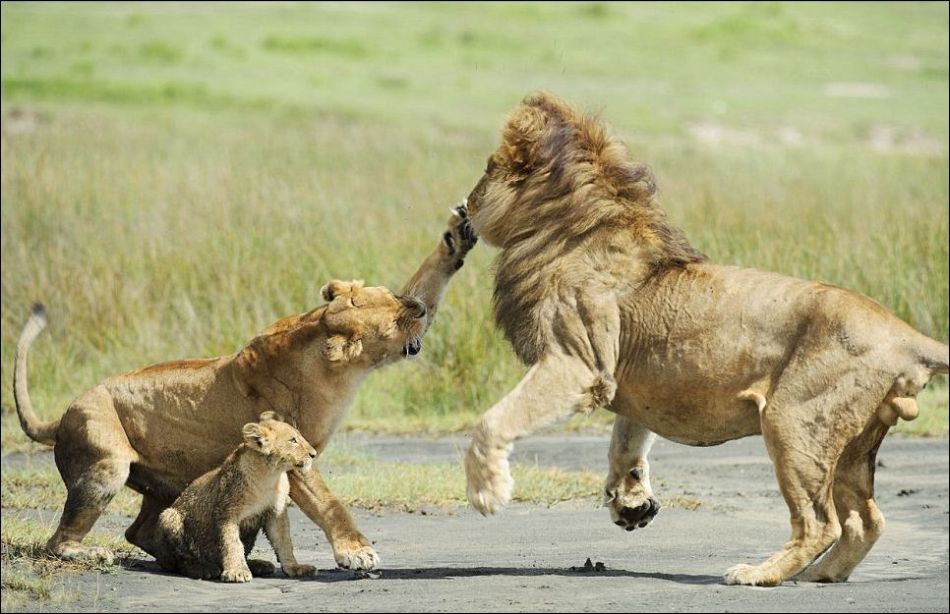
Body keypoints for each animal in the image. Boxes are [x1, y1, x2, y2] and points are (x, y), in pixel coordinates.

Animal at [154, 414, 318, 584]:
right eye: (293, 440)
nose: (314, 454)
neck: (269, 476)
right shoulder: (226, 512)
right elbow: (232, 543)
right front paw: (237, 572)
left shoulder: (276, 513)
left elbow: (284, 542)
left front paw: (295, 568)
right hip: (169, 516)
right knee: (177, 561)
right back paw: (203, 569)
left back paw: (259, 565)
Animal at [462, 91, 950, 588]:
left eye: (487, 168)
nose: (465, 206)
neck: (568, 228)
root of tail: (903, 333)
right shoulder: (630, 382)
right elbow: (625, 442)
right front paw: (631, 501)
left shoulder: (577, 364)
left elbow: (491, 423)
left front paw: (487, 492)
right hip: (852, 444)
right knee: (866, 521)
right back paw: (821, 575)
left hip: (792, 421)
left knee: (820, 522)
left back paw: (759, 573)